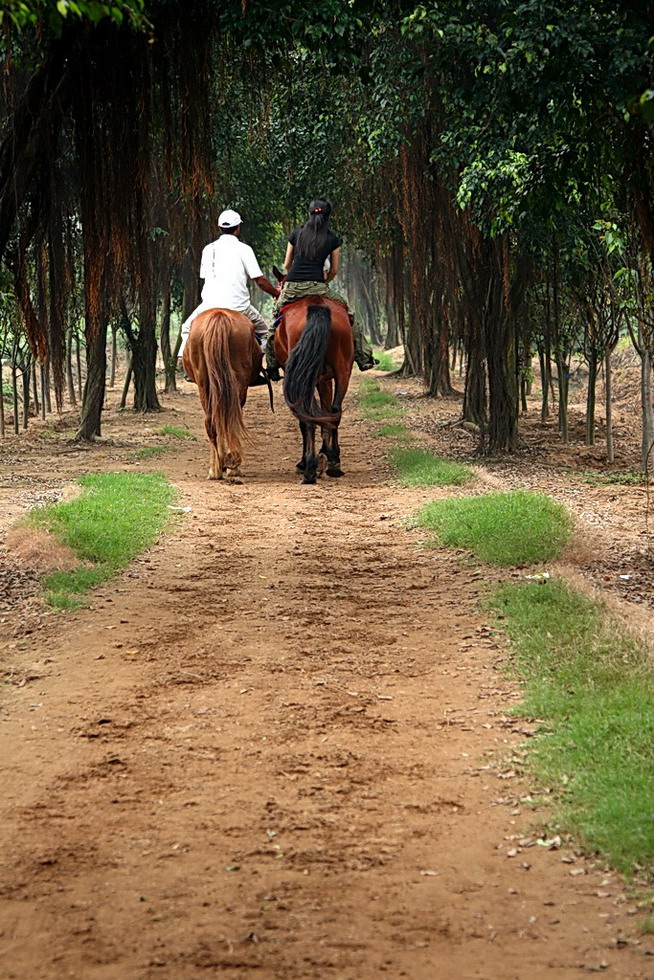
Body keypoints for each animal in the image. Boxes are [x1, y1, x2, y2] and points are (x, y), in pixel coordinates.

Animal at [182, 304, 272, 476]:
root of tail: (219, 315)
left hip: (205, 383)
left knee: (213, 420)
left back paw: (217, 469)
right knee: (228, 418)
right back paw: (229, 467)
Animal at [276, 296, 358, 484]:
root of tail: (317, 306)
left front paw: (305, 462)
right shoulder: (324, 380)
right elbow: (325, 414)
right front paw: (325, 453)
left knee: (307, 418)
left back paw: (310, 469)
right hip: (343, 369)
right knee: (335, 411)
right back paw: (334, 463)